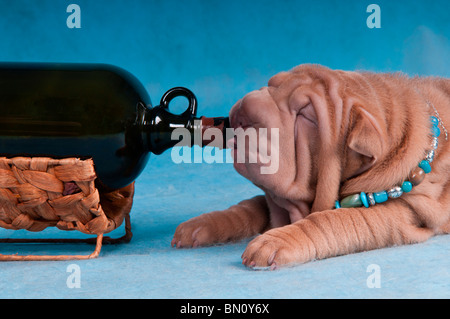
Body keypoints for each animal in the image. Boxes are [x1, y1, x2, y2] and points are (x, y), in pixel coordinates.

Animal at [171, 63, 448, 268]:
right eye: (271, 84)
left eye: (306, 116)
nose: (244, 109)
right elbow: (251, 206)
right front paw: (204, 224)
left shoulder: (408, 209)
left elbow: (337, 219)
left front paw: (278, 240)